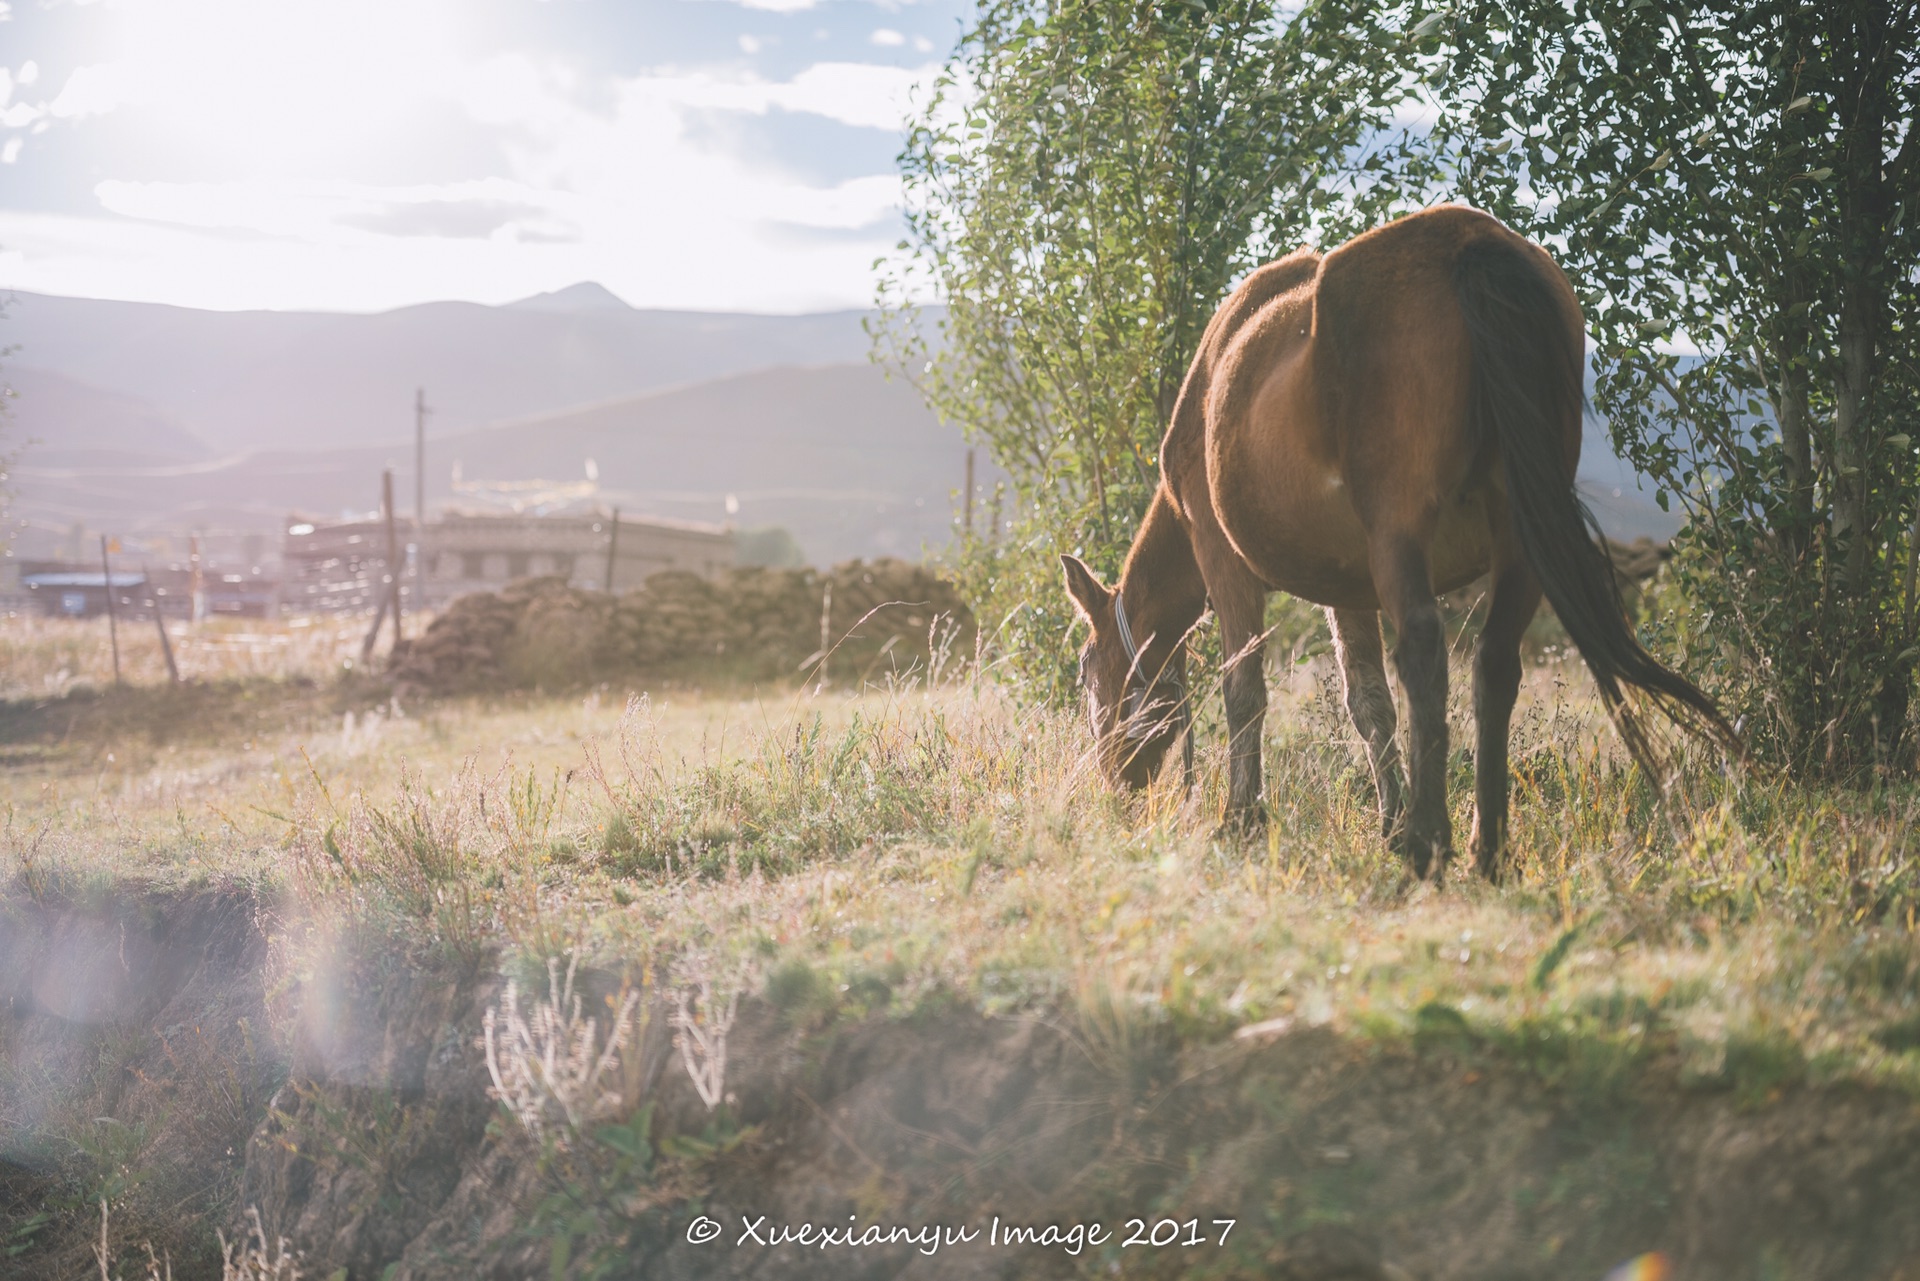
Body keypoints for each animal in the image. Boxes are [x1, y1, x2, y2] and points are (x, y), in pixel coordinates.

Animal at [1067, 208, 1743, 883]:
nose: (1112, 783)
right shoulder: (1345, 586)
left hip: (1399, 532)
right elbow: (1369, 702)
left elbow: (1245, 692)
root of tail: (1470, 244)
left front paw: (1242, 820)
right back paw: (1485, 848)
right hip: (1518, 537)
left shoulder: (1223, 558)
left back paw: (1428, 842)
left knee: (1423, 652)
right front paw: (1388, 822)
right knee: (1494, 663)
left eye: (1086, 668)